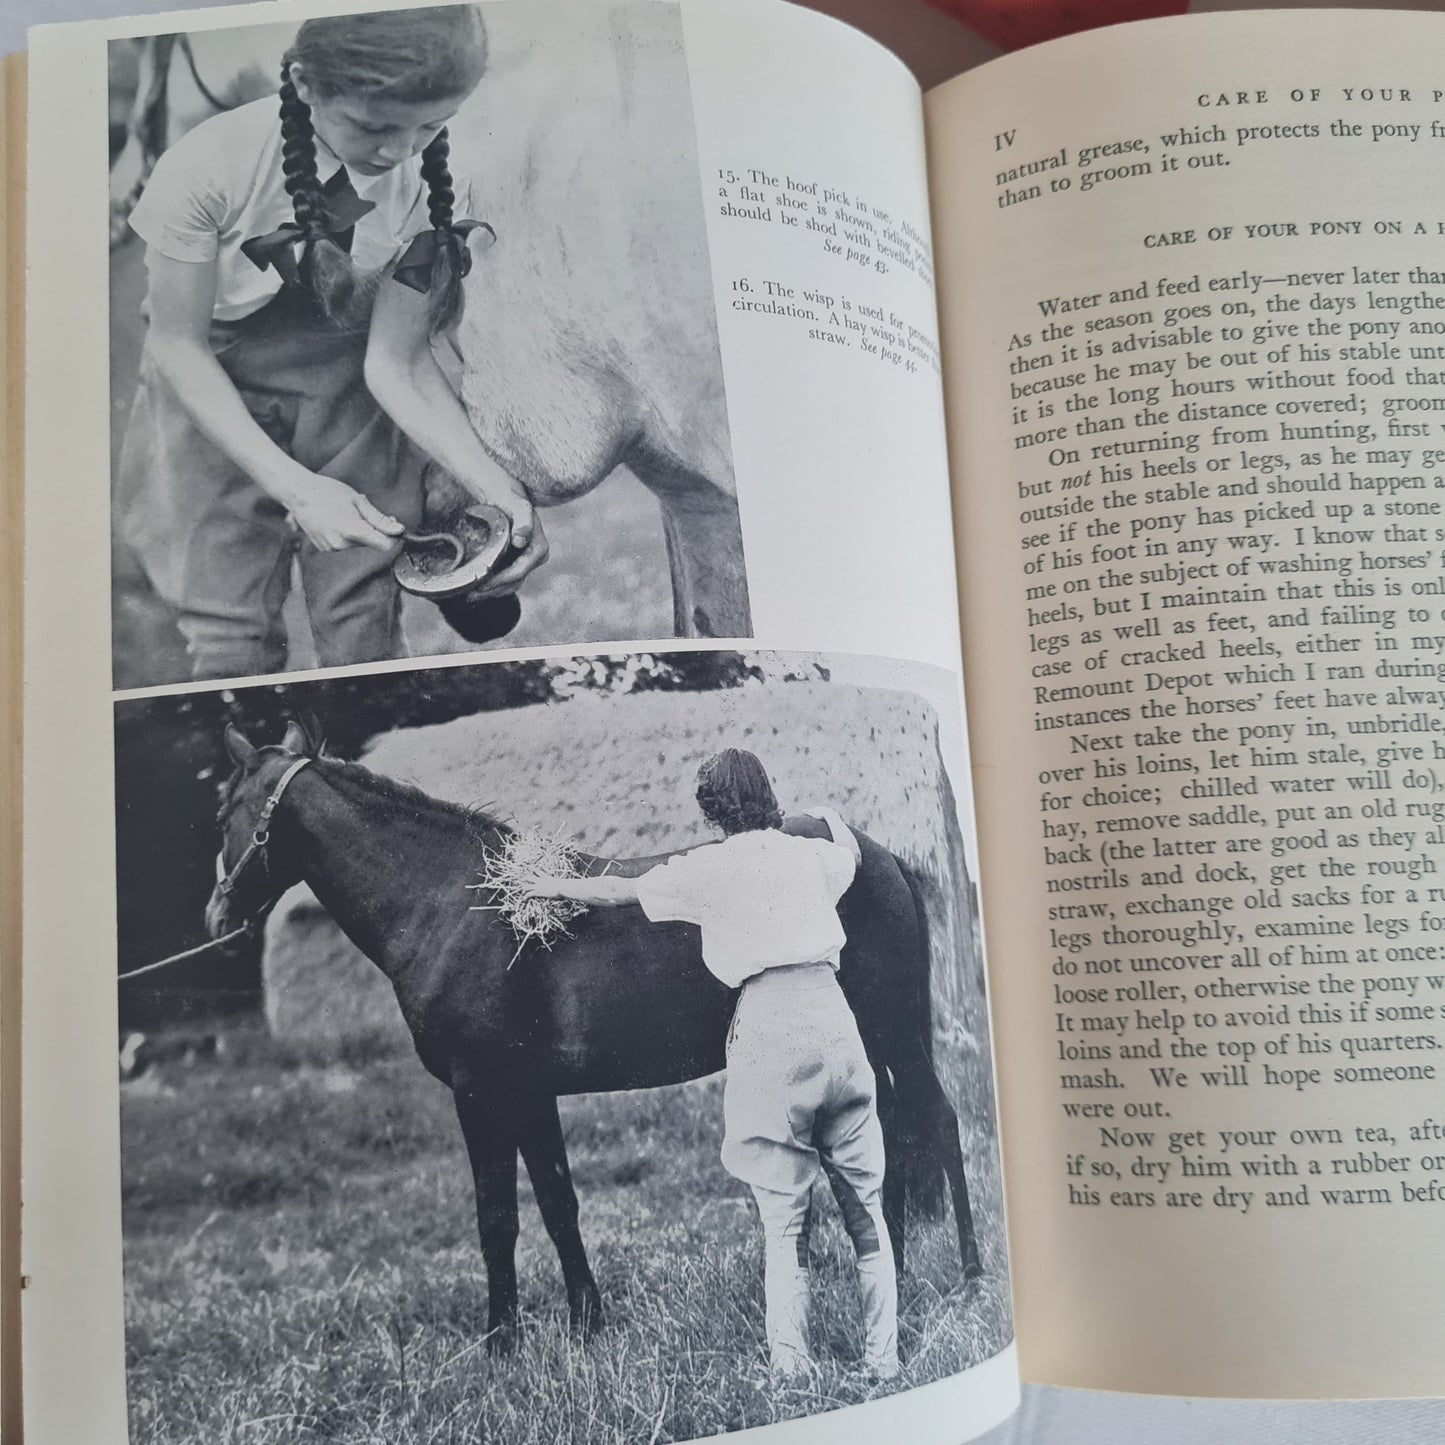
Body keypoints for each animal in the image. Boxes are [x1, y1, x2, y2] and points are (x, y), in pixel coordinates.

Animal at [209, 728, 982, 1346]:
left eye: (224, 811)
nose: (216, 914)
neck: (452, 909)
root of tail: (878, 856)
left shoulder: (482, 1092)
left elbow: (498, 1217)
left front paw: (502, 1343)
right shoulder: (528, 1094)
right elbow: (557, 1204)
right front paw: (587, 1324)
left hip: (893, 1032)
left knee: (936, 1124)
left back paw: (970, 1277)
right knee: (891, 1141)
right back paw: (890, 1270)